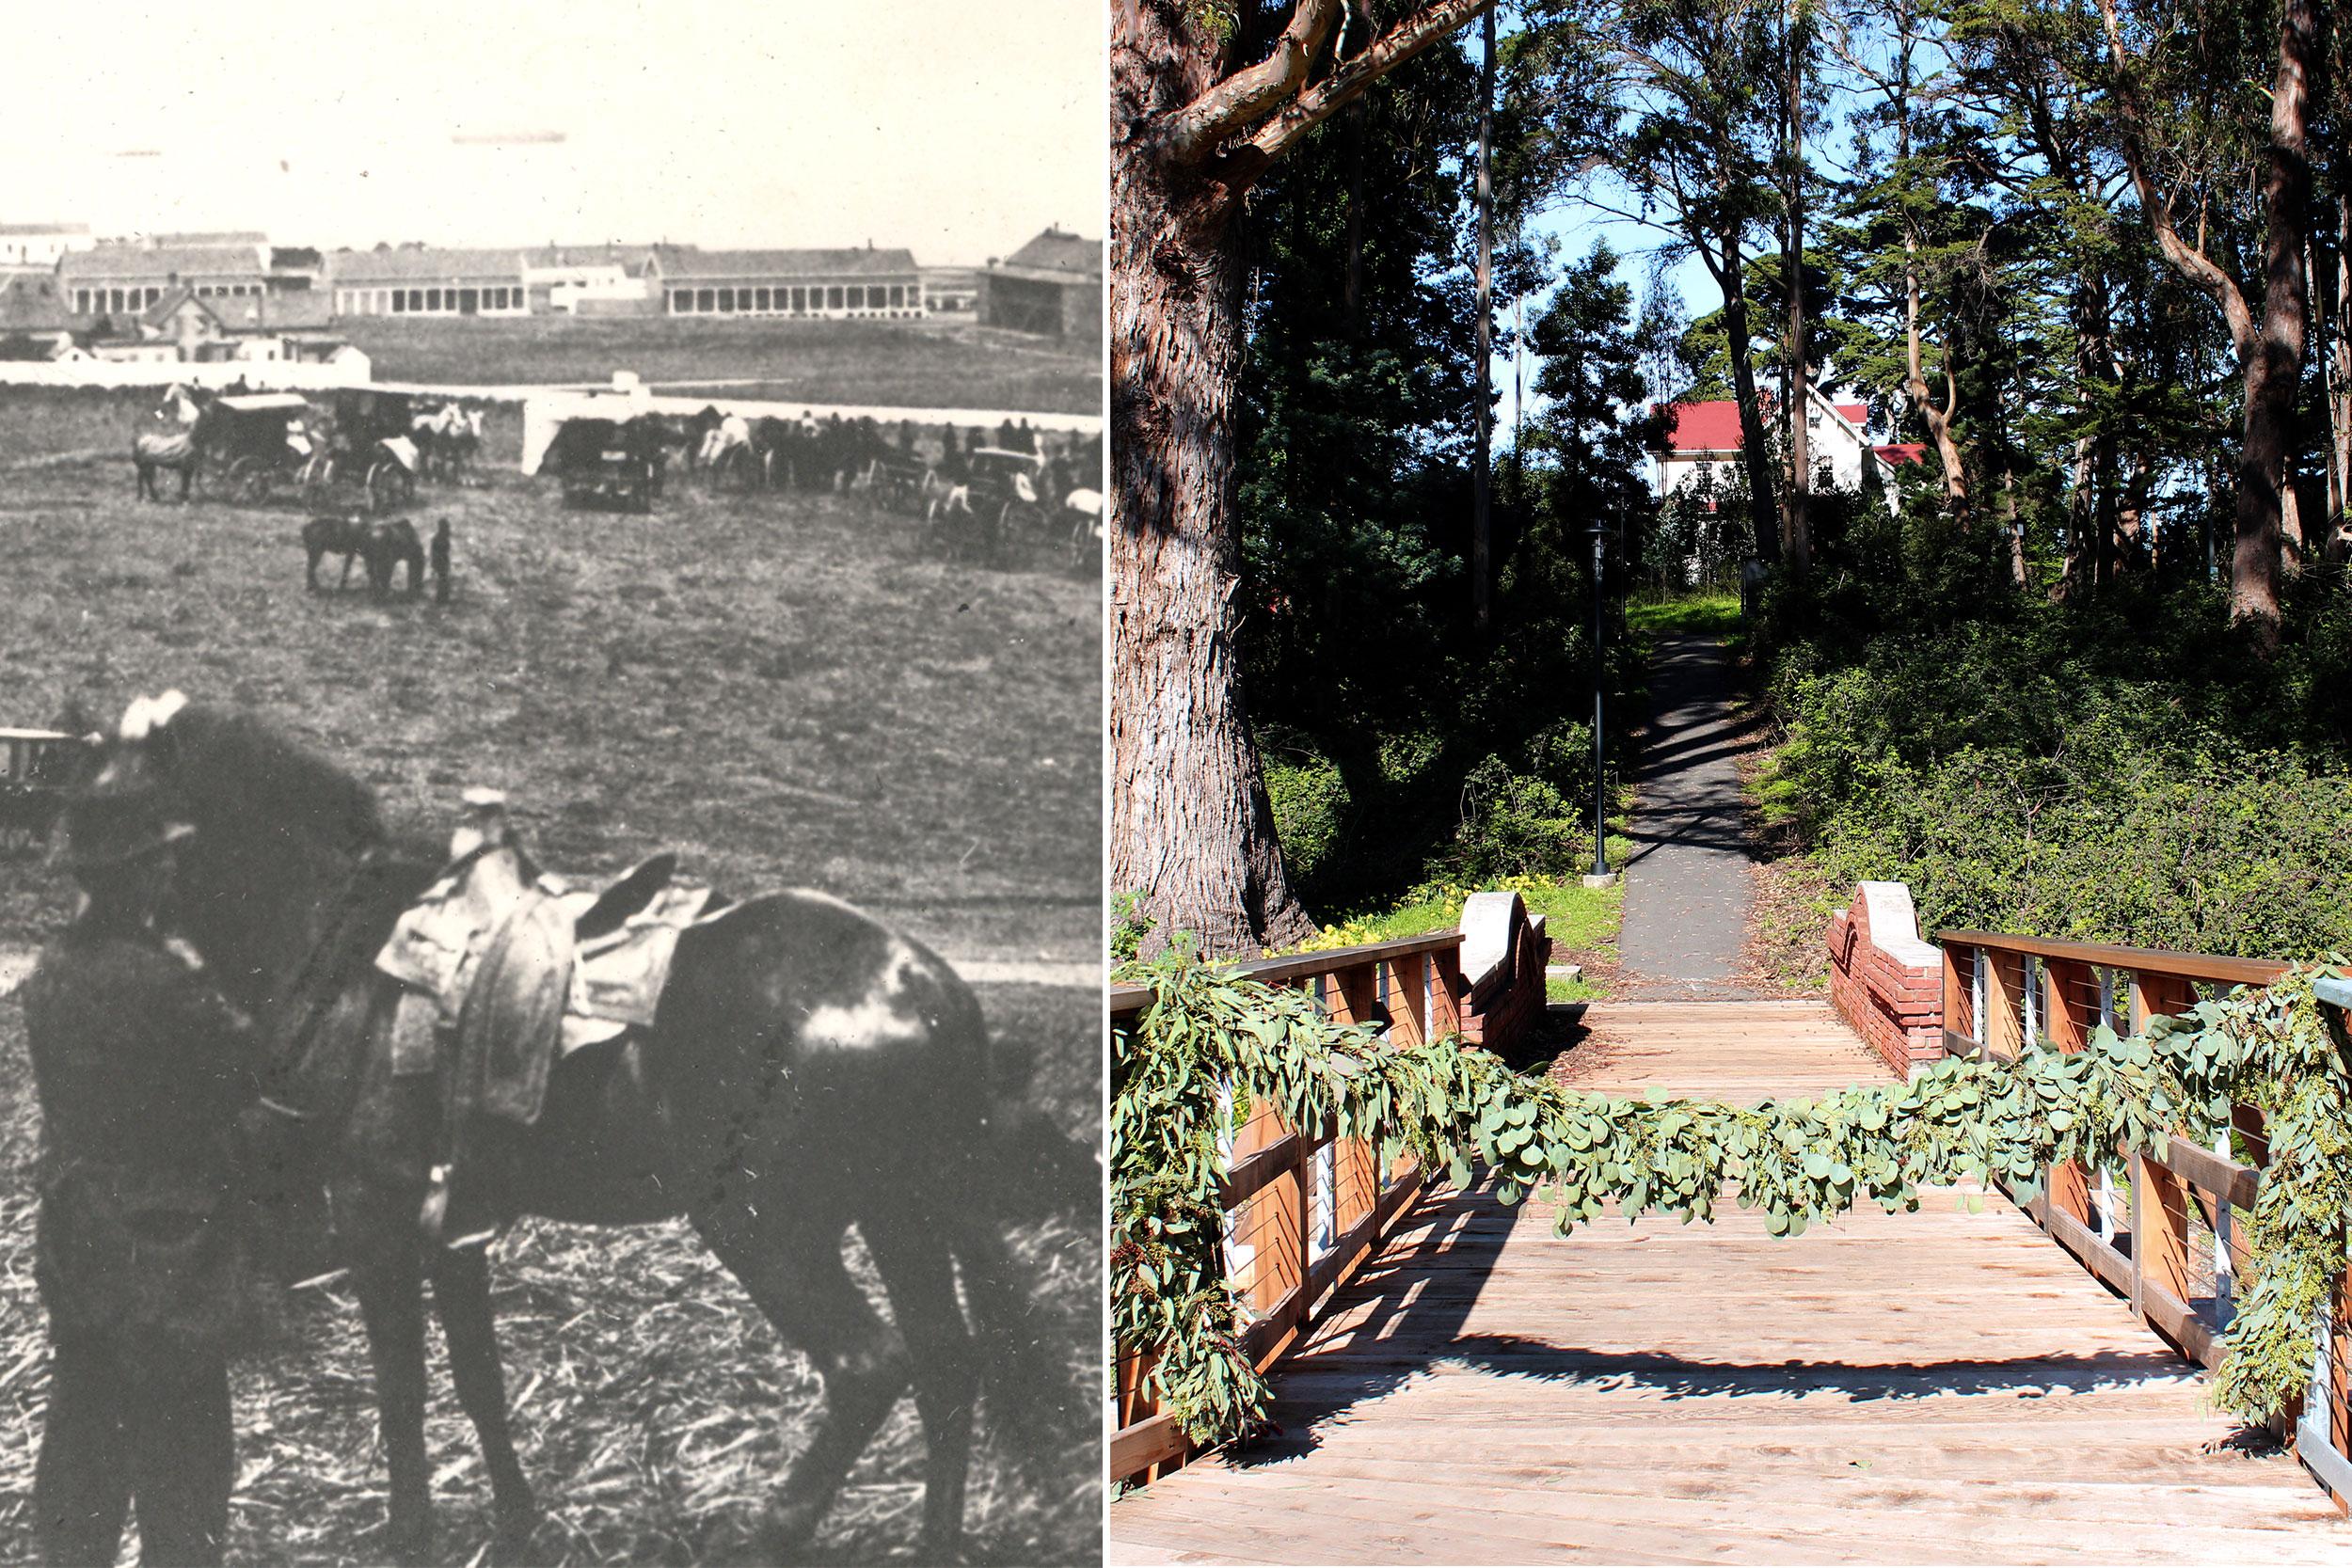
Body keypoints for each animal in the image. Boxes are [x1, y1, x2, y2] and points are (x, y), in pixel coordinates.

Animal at [69, 700, 1087, 1568]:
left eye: (110, 800)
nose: (74, 908)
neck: (357, 956)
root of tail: (926, 987)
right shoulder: (454, 1231)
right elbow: (478, 1380)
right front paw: (518, 1522)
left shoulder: (377, 1221)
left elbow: (403, 1394)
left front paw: (410, 1534)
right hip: (900, 1213)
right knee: (950, 1365)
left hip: (767, 1228)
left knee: (871, 1366)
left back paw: (772, 1526)